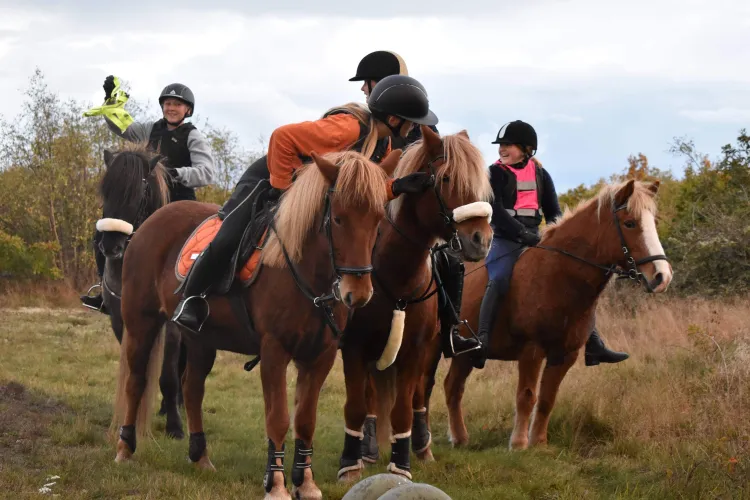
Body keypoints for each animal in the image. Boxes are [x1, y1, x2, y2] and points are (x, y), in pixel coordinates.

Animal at [94, 144, 188, 438]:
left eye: (141, 191)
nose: (111, 246)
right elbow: (135, 368)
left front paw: (175, 426)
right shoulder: (120, 320)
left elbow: (168, 374)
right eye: (106, 189)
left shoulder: (172, 327)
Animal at [109, 149, 402, 500]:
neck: (304, 271)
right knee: (135, 381)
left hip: (200, 339)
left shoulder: (321, 356)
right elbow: (278, 419)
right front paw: (276, 484)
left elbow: (306, 421)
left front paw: (305, 482)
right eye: (339, 218)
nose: (357, 293)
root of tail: (150, 222)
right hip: (141, 322)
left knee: (192, 389)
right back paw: (125, 448)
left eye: (377, 219)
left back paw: (200, 456)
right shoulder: (274, 351)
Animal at [338, 127, 496, 482]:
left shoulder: (416, 349)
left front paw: (402, 464)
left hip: (433, 348)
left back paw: (422, 447)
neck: (396, 273)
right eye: (447, 178)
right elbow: (357, 404)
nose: (481, 240)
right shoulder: (355, 347)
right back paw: (369, 449)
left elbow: (403, 410)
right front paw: (351, 464)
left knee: (420, 395)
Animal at [418, 181, 676, 458]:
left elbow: (546, 399)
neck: (557, 274)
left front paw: (539, 442)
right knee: (425, 388)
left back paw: (459, 438)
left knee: (452, 388)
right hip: (432, 348)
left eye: (653, 221)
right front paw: (519, 443)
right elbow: (527, 396)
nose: (662, 276)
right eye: (629, 223)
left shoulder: (565, 355)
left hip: (464, 355)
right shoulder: (532, 350)